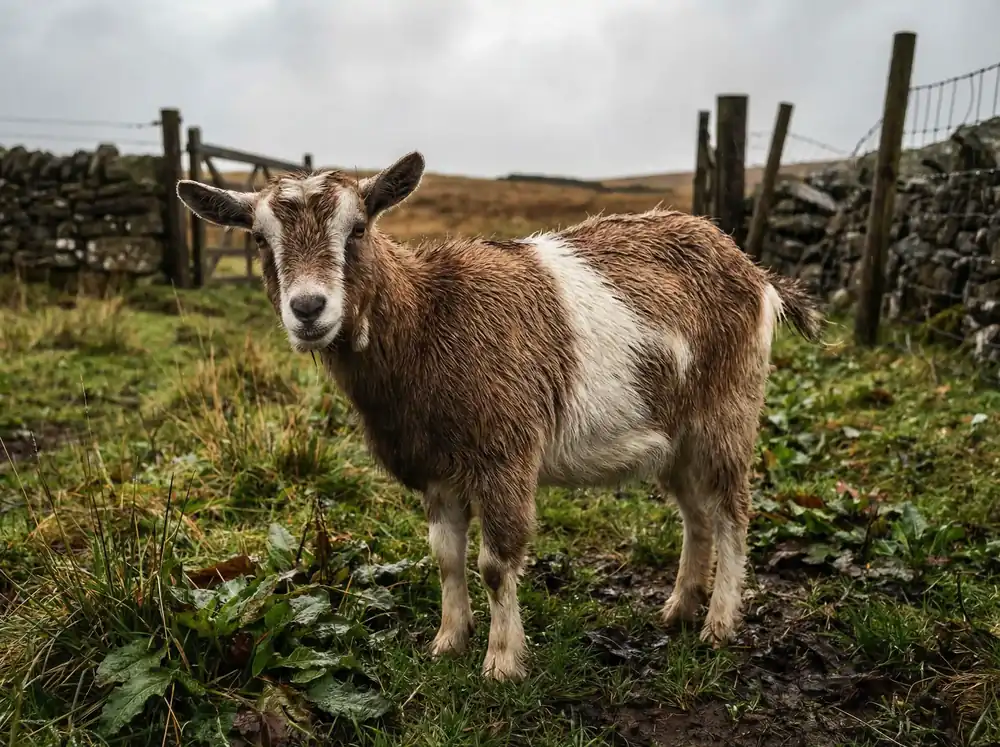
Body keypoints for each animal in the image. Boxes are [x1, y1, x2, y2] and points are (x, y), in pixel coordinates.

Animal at [175, 152, 823, 681]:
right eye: (260, 240)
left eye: (357, 228)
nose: (309, 308)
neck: (429, 319)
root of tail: (753, 270)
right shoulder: (435, 469)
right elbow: (446, 557)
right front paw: (447, 641)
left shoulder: (505, 453)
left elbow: (494, 562)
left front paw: (502, 662)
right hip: (672, 434)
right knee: (697, 515)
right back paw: (679, 608)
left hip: (727, 410)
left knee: (733, 510)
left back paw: (718, 624)